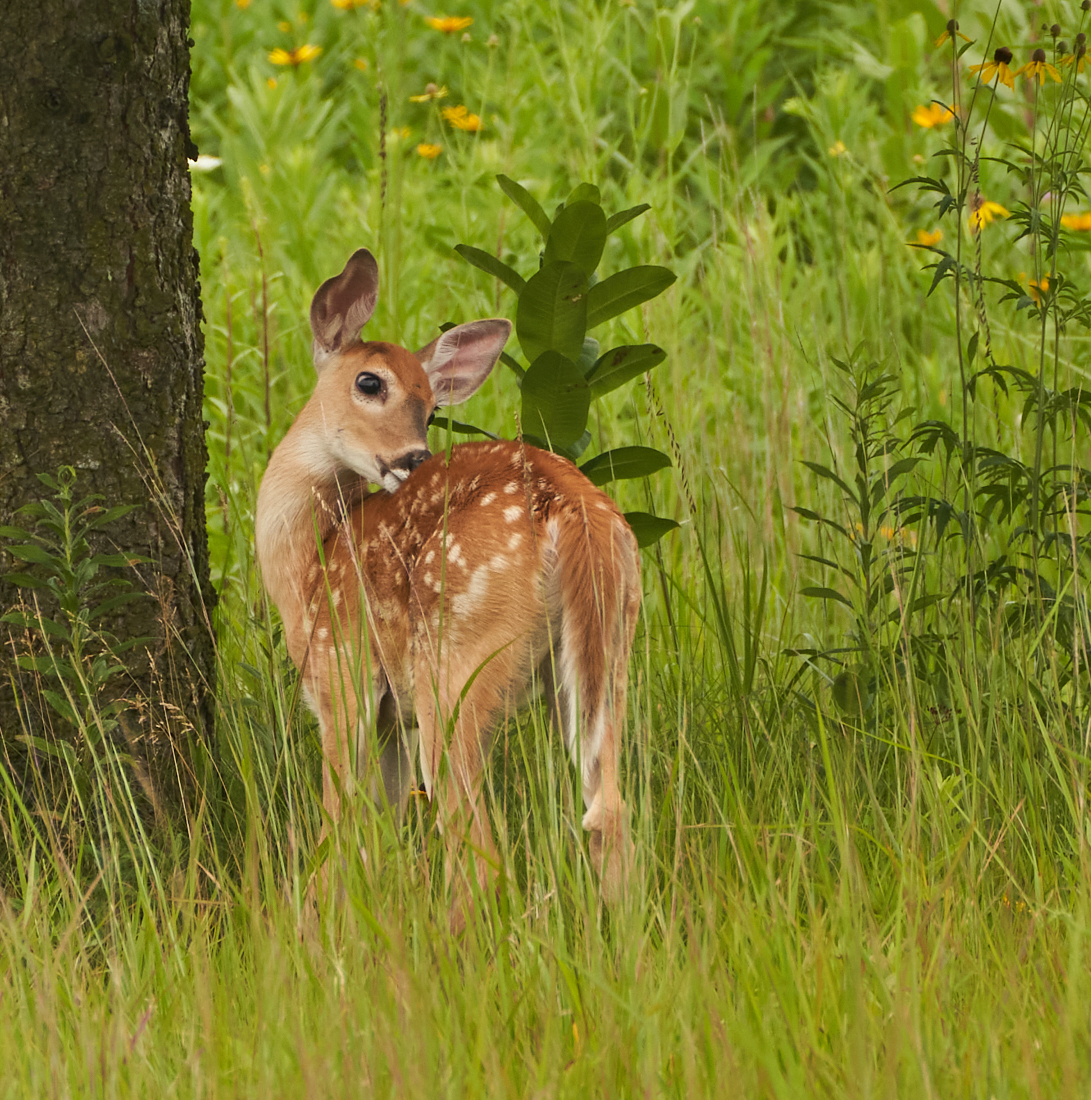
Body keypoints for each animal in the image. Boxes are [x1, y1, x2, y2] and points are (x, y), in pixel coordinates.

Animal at [254, 248, 641, 921]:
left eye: (433, 405)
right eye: (370, 382)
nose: (413, 457)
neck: (307, 562)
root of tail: (571, 506)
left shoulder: (342, 675)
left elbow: (338, 825)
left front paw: (311, 925)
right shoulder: (393, 717)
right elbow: (375, 832)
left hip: (456, 659)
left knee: (476, 841)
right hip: (610, 648)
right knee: (608, 811)